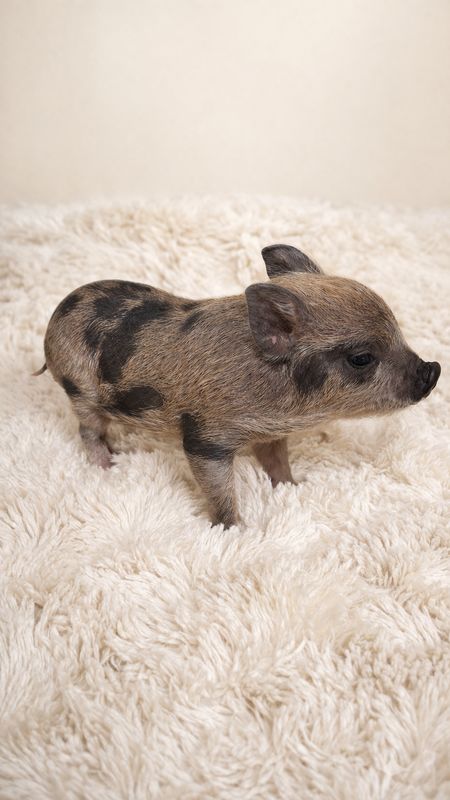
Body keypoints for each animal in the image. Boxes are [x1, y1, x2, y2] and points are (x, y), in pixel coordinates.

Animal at [35, 245, 441, 528]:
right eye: (361, 358)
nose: (434, 369)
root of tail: (55, 318)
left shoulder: (271, 432)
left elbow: (278, 462)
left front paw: (293, 488)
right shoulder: (205, 439)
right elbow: (219, 490)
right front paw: (235, 530)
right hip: (79, 390)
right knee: (88, 430)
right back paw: (109, 466)